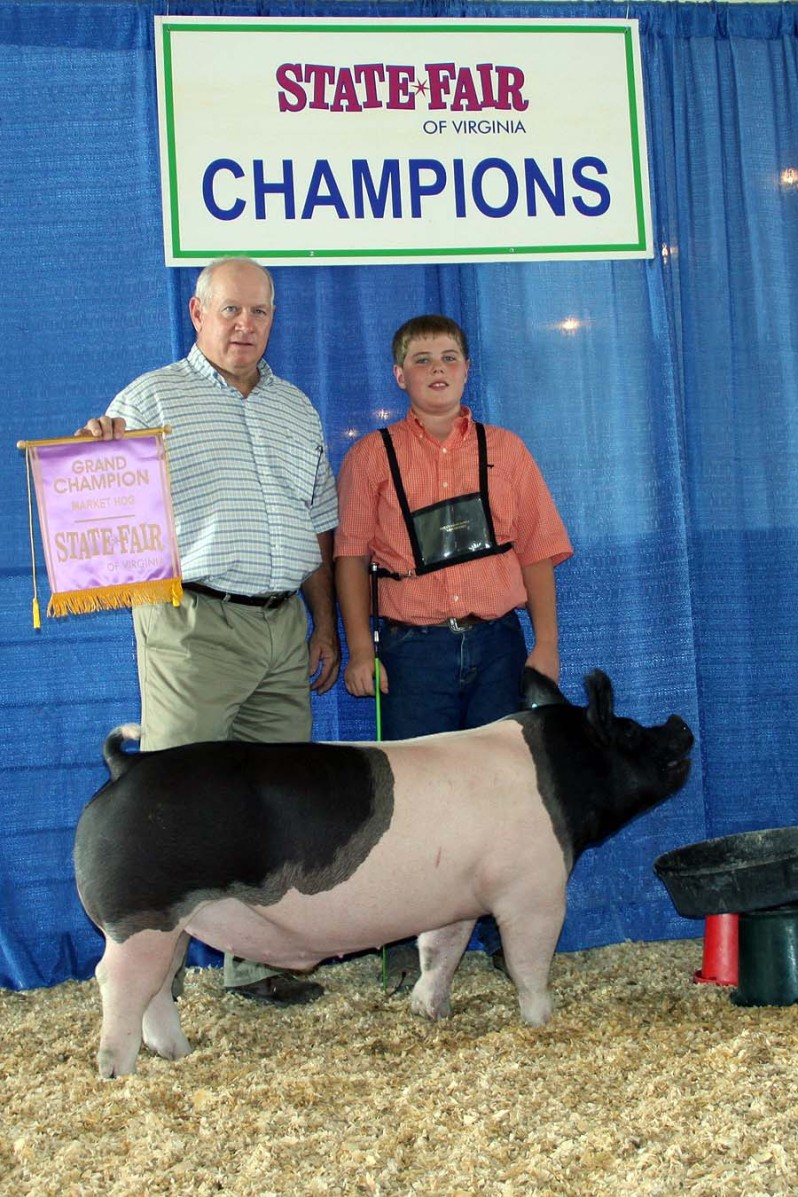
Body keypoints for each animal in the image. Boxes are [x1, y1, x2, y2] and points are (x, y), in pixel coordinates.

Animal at [74, 670, 693, 1082]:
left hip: (172, 922)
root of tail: (126, 765)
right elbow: (528, 962)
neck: (559, 778)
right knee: (116, 981)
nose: (680, 723)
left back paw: (177, 1054)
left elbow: (439, 952)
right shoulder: (532, 891)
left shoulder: (456, 901)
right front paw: (543, 1019)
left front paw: (429, 1012)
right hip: (138, 914)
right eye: (629, 732)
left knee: (156, 986)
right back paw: (117, 1072)